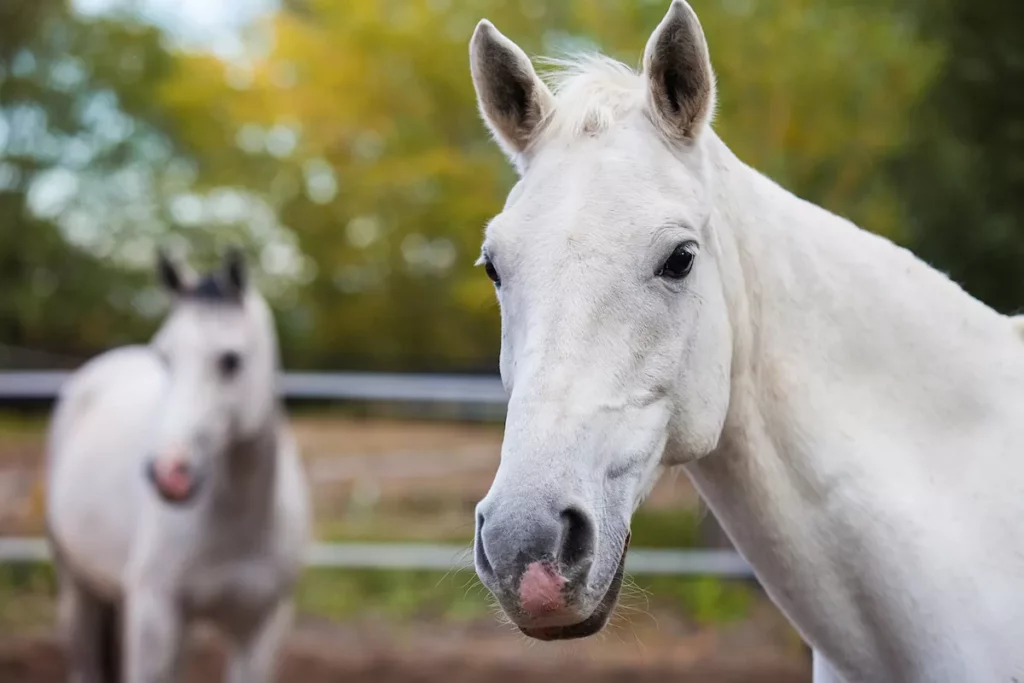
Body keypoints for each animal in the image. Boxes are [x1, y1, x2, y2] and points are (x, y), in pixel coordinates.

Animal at [45, 248, 312, 683]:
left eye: (230, 360)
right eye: (165, 356)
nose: (168, 472)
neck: (239, 523)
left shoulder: (260, 630)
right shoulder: (154, 617)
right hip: (78, 586)